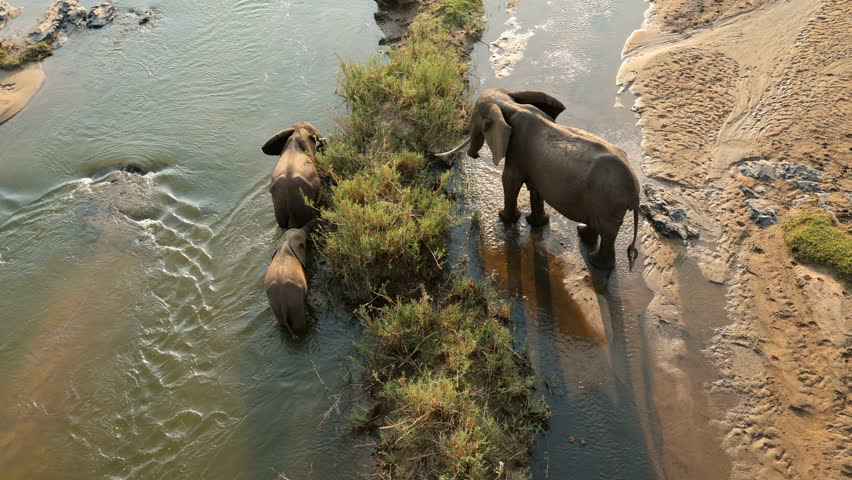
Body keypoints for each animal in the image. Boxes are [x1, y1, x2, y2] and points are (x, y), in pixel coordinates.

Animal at [438, 88, 640, 270]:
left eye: (476, 119)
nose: (437, 156)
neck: (509, 104)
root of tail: (635, 193)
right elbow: (534, 188)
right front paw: (535, 222)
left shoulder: (517, 150)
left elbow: (509, 180)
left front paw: (504, 217)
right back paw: (582, 234)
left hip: (607, 203)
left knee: (607, 232)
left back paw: (595, 262)